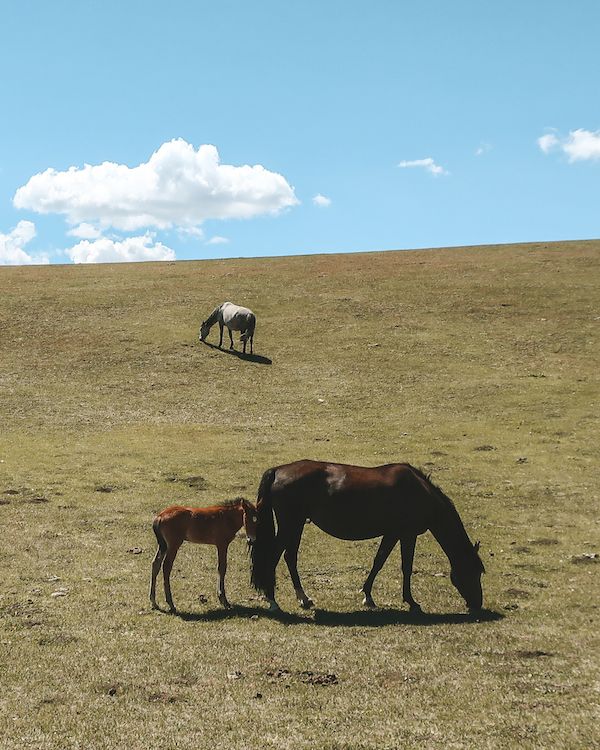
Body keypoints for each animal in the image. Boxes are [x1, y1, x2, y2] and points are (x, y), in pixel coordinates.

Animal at [251, 464, 486, 616]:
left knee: (290, 557)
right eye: (475, 572)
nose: (477, 604)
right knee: (274, 557)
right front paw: (411, 602)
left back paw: (304, 598)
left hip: (296, 525)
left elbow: (378, 562)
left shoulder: (392, 534)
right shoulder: (406, 535)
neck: (418, 491)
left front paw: (368, 596)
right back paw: (272, 600)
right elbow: (406, 567)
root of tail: (278, 470)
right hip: (291, 525)